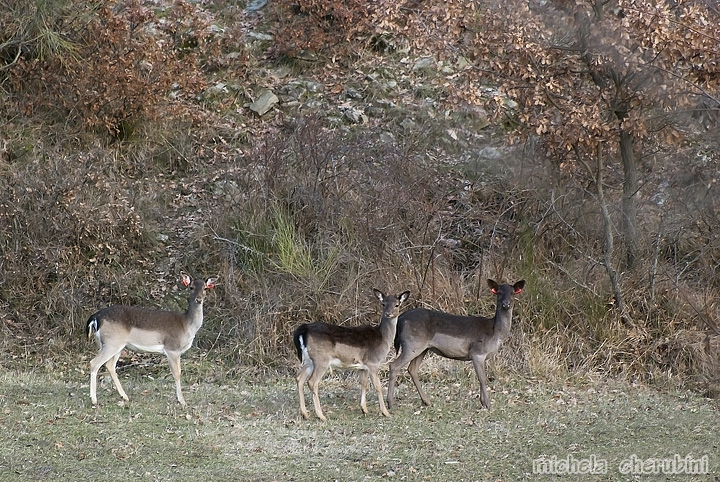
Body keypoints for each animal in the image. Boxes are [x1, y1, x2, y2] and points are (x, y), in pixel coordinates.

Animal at [86, 274, 217, 404]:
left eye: (205, 288)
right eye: (191, 287)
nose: (199, 300)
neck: (187, 325)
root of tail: (96, 317)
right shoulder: (172, 348)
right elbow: (177, 373)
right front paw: (182, 401)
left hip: (113, 345)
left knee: (110, 365)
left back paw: (124, 396)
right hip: (112, 342)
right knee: (94, 363)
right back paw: (94, 399)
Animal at [290, 288, 408, 420]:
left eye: (397, 304)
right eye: (383, 304)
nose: (388, 313)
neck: (383, 338)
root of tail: (303, 330)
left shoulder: (363, 367)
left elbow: (364, 384)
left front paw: (364, 409)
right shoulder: (373, 362)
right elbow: (378, 386)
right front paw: (386, 412)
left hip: (309, 360)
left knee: (299, 378)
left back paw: (305, 414)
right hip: (321, 360)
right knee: (312, 382)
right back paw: (321, 416)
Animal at [388, 278, 524, 410]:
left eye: (513, 293)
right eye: (499, 292)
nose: (506, 304)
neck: (496, 333)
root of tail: (400, 319)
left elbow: (481, 377)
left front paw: (483, 402)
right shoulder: (477, 352)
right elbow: (482, 378)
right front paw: (488, 405)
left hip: (422, 348)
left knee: (412, 369)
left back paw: (427, 401)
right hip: (412, 344)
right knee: (394, 365)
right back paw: (390, 403)